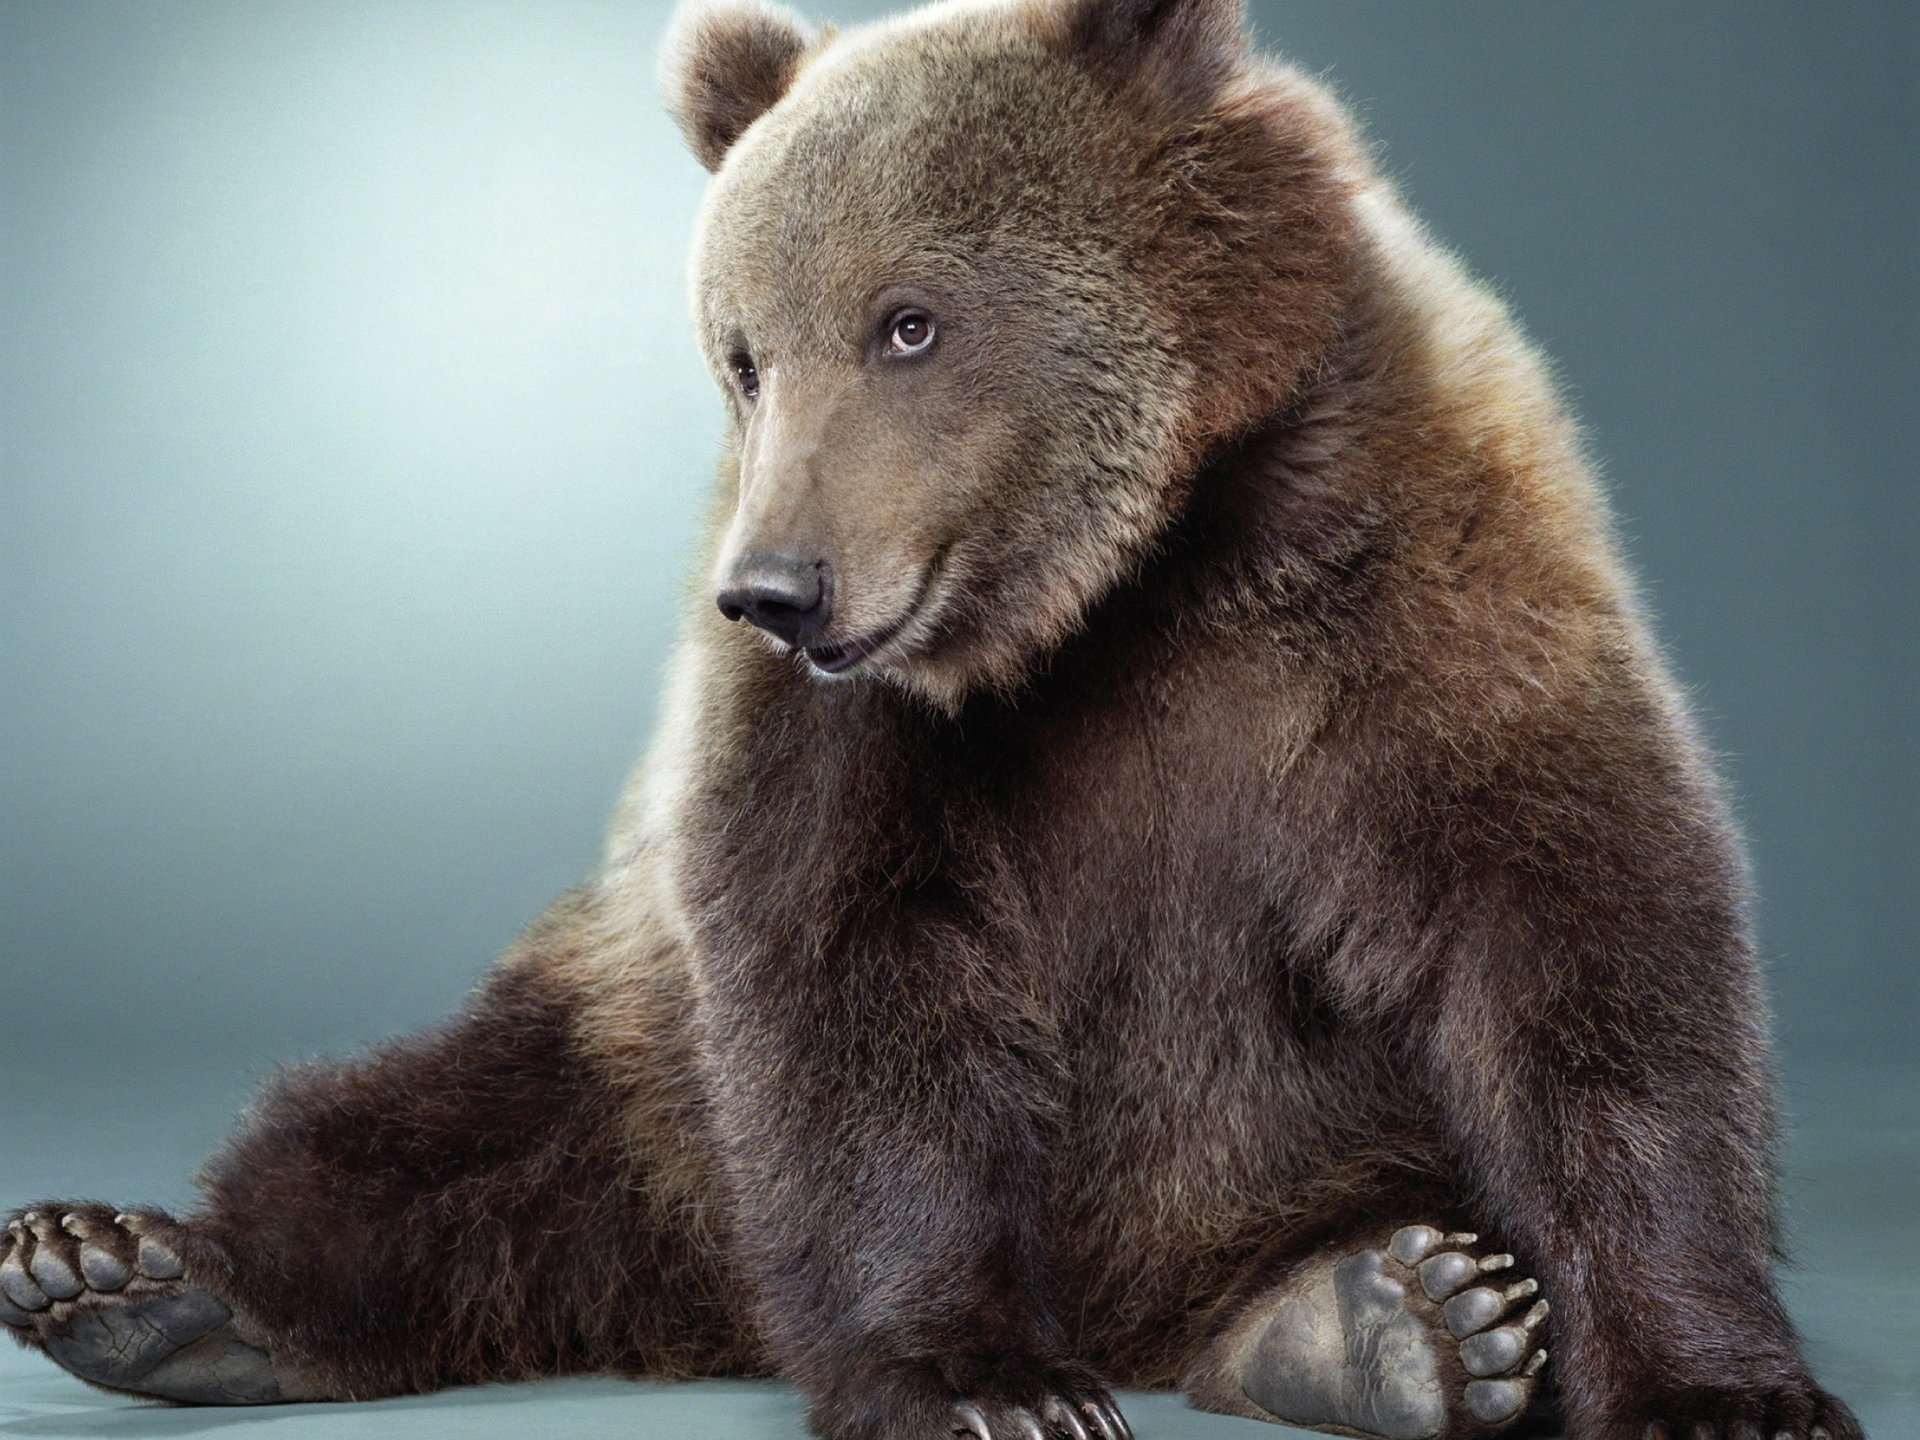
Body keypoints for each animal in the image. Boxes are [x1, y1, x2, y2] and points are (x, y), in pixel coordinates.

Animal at [0, 0, 1863, 1437]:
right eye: (743, 352)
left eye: (909, 321)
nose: (778, 589)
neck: (1130, 580)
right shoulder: (839, 734)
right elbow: (849, 967)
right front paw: (983, 1378)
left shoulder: (1409, 573)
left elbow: (1570, 921)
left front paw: (1722, 1387)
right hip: (633, 1074)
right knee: (432, 1138)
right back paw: (139, 1279)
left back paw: (1394, 1315)